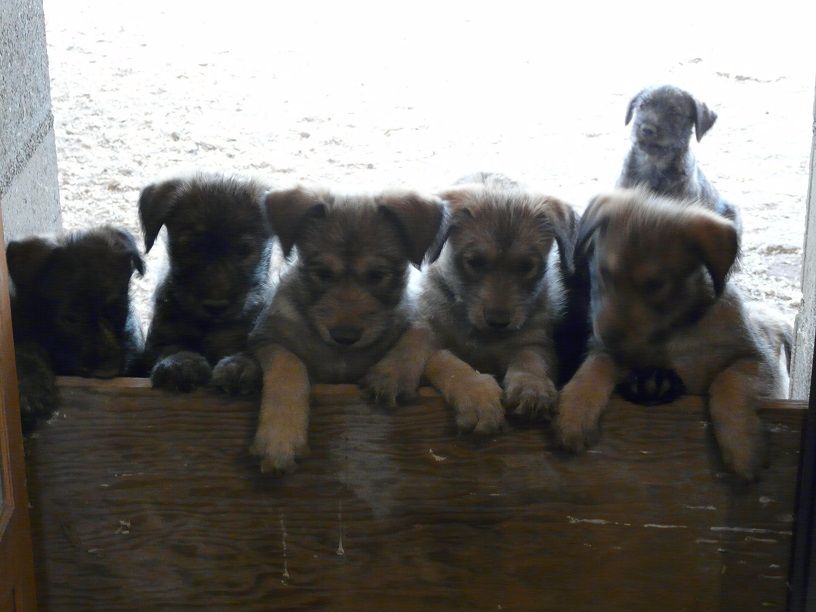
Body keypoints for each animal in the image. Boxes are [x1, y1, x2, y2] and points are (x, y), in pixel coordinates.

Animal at [250, 186, 446, 474]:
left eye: (377, 275)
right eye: (322, 273)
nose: (345, 337)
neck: (340, 355)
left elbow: (419, 332)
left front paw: (392, 373)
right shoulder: (267, 338)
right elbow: (288, 367)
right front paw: (280, 436)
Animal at [364, 175, 580, 436]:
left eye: (527, 266)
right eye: (474, 262)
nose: (498, 321)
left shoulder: (537, 341)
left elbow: (530, 358)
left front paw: (532, 385)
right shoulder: (428, 323)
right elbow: (441, 357)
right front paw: (476, 396)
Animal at [556, 186, 792, 478]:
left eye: (656, 285)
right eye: (603, 274)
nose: (605, 339)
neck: (675, 332)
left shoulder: (754, 360)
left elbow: (729, 384)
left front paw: (742, 447)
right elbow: (594, 366)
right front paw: (574, 412)